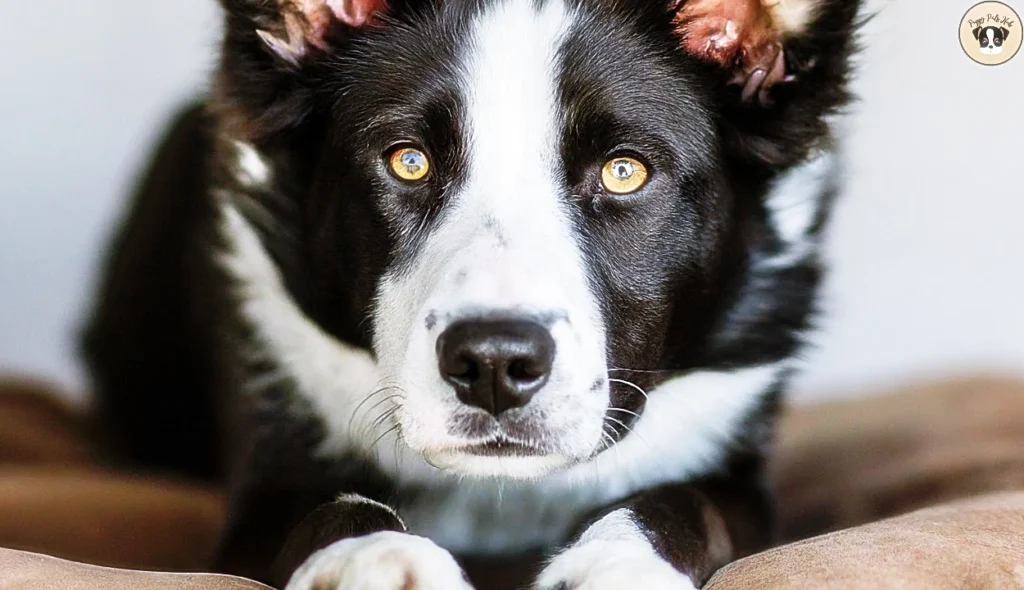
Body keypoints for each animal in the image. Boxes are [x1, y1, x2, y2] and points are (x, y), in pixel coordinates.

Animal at [81, 0, 864, 585]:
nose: (494, 364)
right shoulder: (261, 490)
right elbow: (326, 511)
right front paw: (375, 558)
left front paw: (613, 562)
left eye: (624, 172)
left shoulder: (742, 480)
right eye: (408, 161)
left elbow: (683, 501)